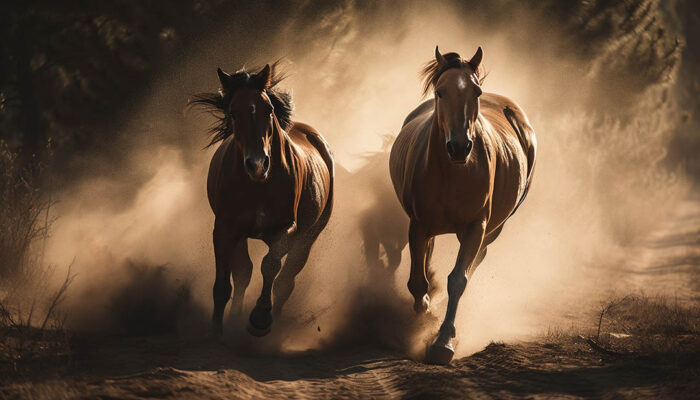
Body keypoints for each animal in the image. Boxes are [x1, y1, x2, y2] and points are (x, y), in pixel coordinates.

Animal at [190, 61, 334, 338]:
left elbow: (270, 265)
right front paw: (216, 331)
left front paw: (259, 318)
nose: (257, 164)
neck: (257, 185)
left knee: (285, 280)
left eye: (268, 110)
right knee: (244, 273)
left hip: (309, 236)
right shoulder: (225, 229)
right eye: (233, 113)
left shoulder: (286, 229)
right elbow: (225, 283)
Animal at [388, 47, 536, 366]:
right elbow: (417, 282)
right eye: (440, 92)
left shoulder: (475, 227)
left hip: (492, 230)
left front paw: (442, 342)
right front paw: (424, 319)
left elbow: (458, 280)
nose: (459, 147)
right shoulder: (418, 224)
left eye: (476, 92)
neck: (451, 172)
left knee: (475, 262)